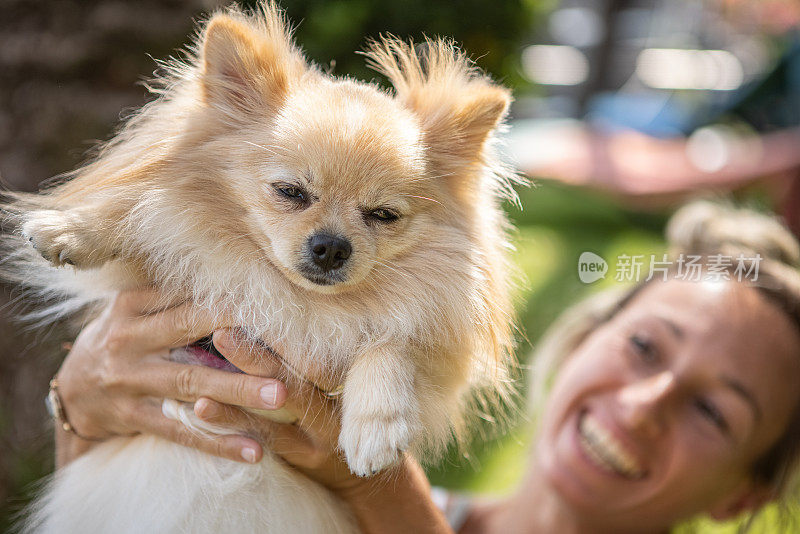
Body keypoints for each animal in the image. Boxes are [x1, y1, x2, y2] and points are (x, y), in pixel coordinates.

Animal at [3, 2, 520, 532]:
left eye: (383, 215)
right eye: (290, 192)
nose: (331, 246)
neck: (299, 297)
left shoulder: (437, 344)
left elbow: (392, 344)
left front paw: (376, 427)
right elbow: (139, 211)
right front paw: (71, 229)